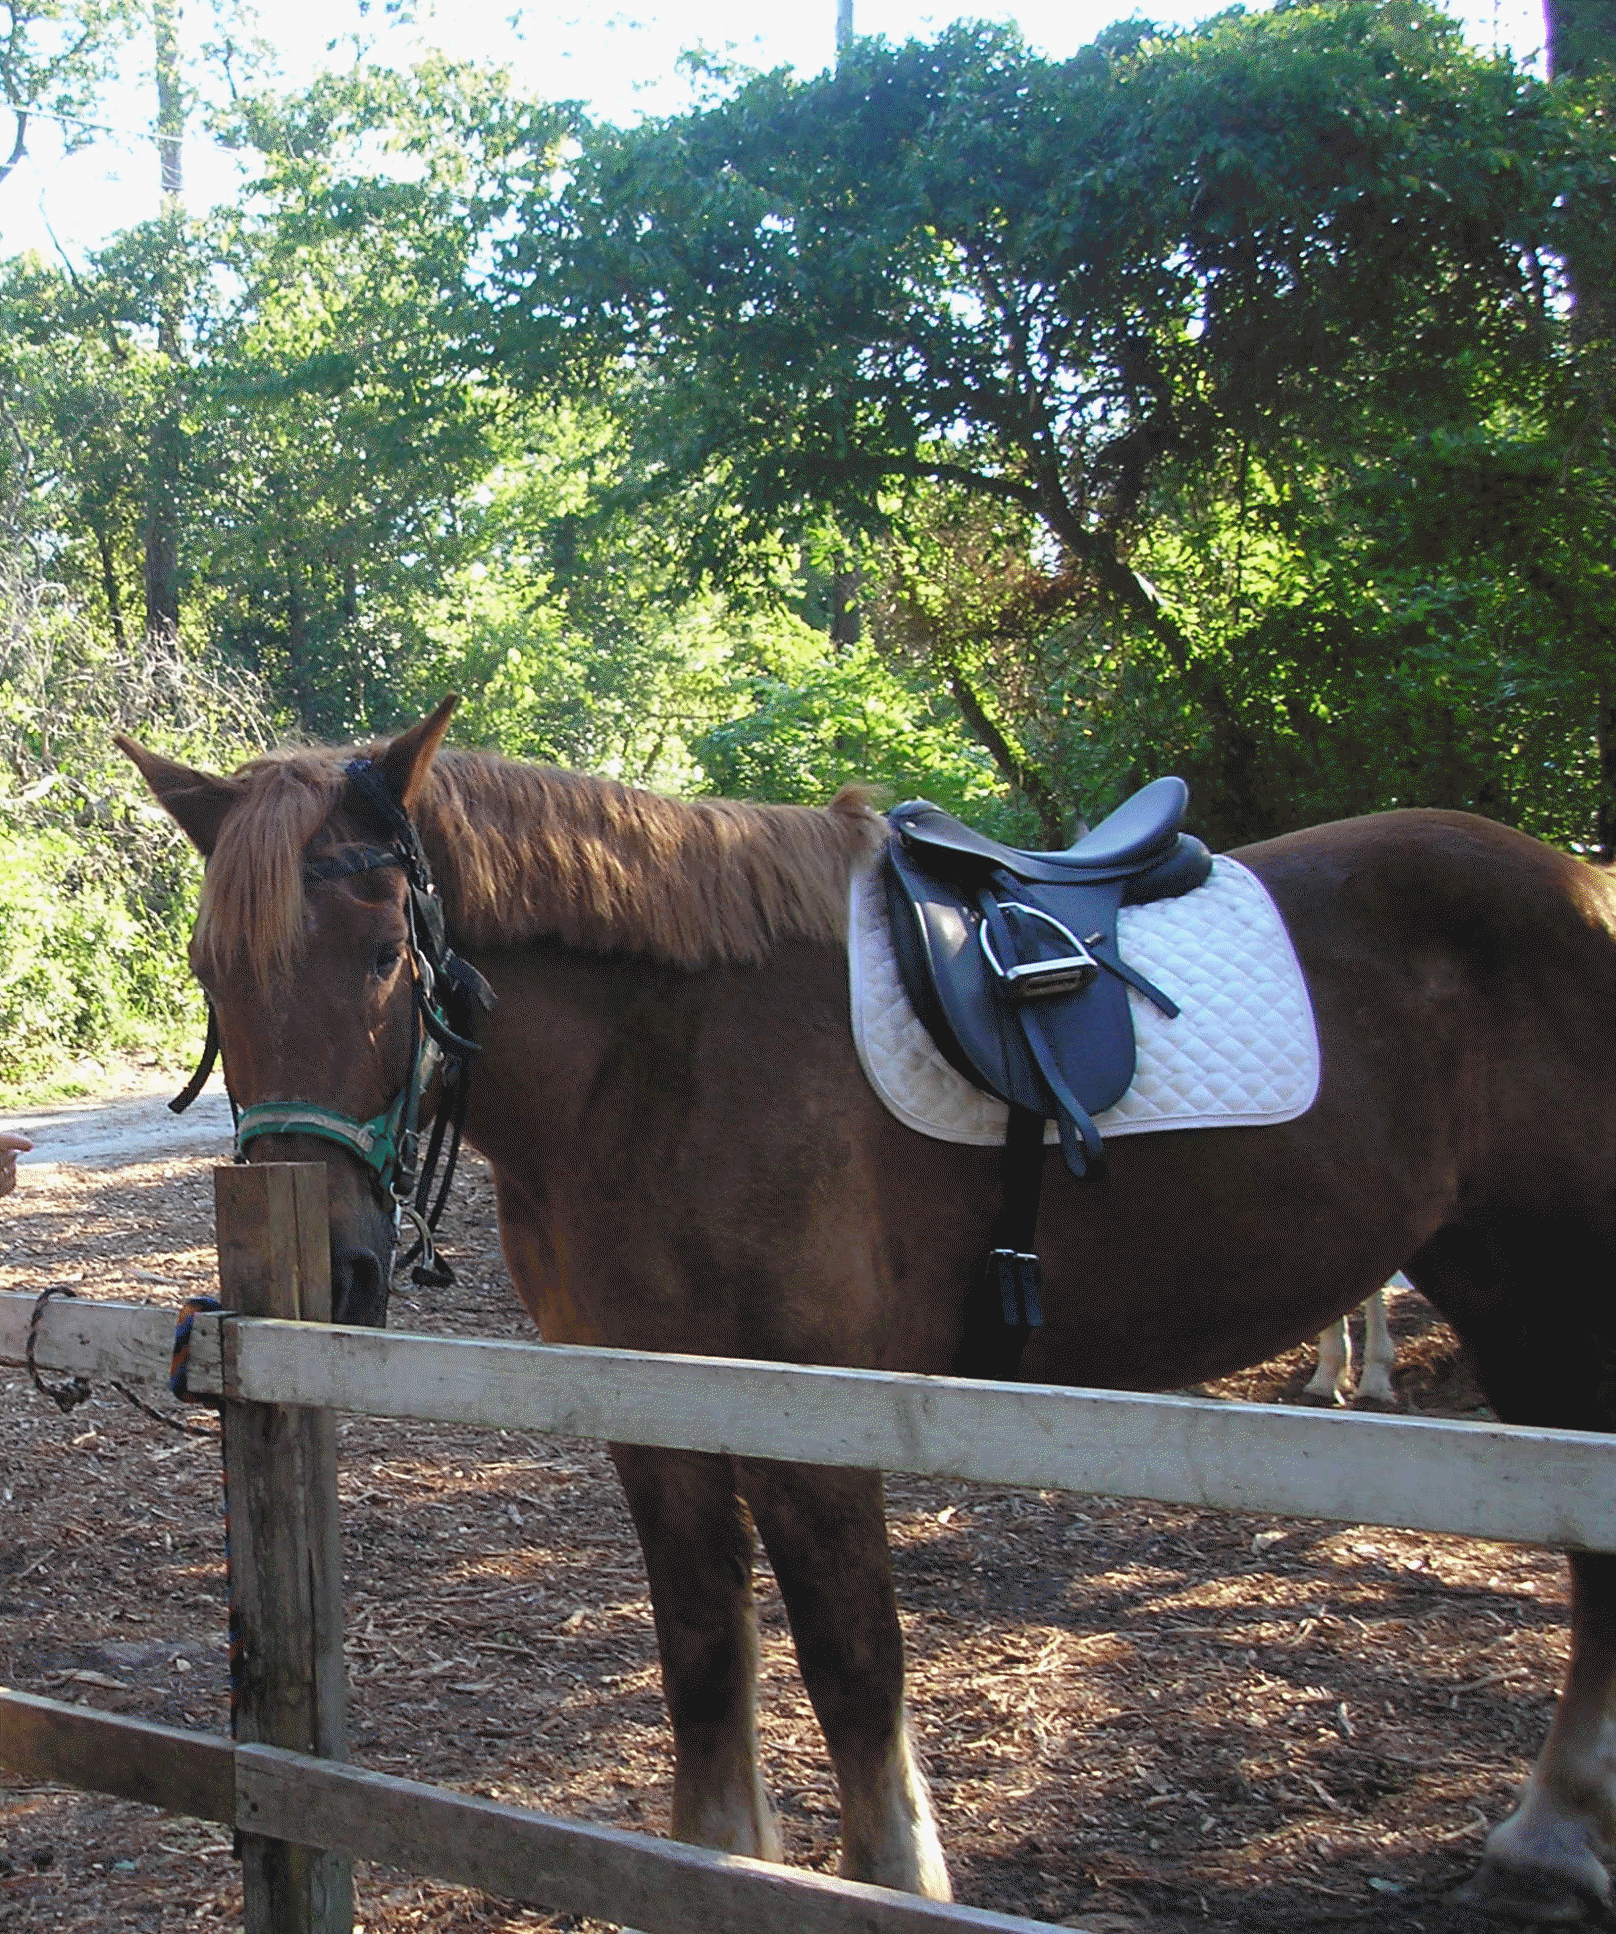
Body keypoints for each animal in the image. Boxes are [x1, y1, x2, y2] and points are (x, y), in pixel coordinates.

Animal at [119, 698, 1616, 1922]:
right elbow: (702, 1653)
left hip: (1547, 1289)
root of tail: (1581, 883)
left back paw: (1548, 1840)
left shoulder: (812, 1416)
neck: (664, 1059)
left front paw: (892, 1878)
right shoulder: (649, 1405)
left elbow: (851, 1666)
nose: (335, 1268)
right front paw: (714, 1864)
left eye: (386, 953)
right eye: (208, 968)